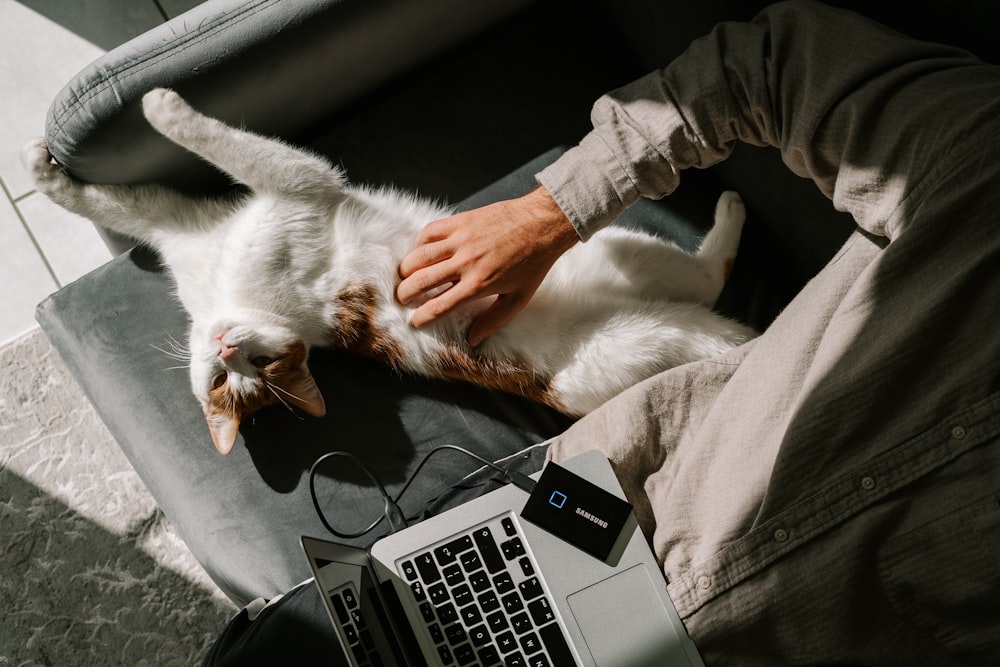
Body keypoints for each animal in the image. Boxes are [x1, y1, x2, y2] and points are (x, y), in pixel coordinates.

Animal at [23, 87, 752, 454]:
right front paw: (135, 121)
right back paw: (730, 217)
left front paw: (58, 165)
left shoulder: (213, 210)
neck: (225, 295)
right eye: (230, 382)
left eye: (259, 368)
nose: (229, 347)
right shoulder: (286, 189)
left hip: (613, 252)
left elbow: (137, 191)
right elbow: (175, 169)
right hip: (640, 299)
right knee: (709, 283)